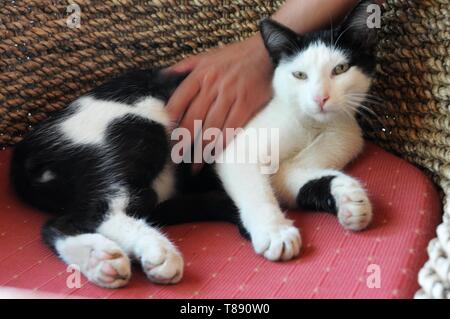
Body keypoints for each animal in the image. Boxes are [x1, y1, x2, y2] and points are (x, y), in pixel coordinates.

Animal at [9, 0, 376, 290]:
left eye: (341, 69)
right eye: (299, 75)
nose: (321, 98)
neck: (313, 125)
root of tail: (25, 152)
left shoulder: (338, 138)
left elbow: (290, 178)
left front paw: (348, 197)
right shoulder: (236, 146)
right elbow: (254, 186)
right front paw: (274, 231)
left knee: (64, 222)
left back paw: (99, 259)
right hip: (142, 127)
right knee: (87, 213)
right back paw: (148, 251)